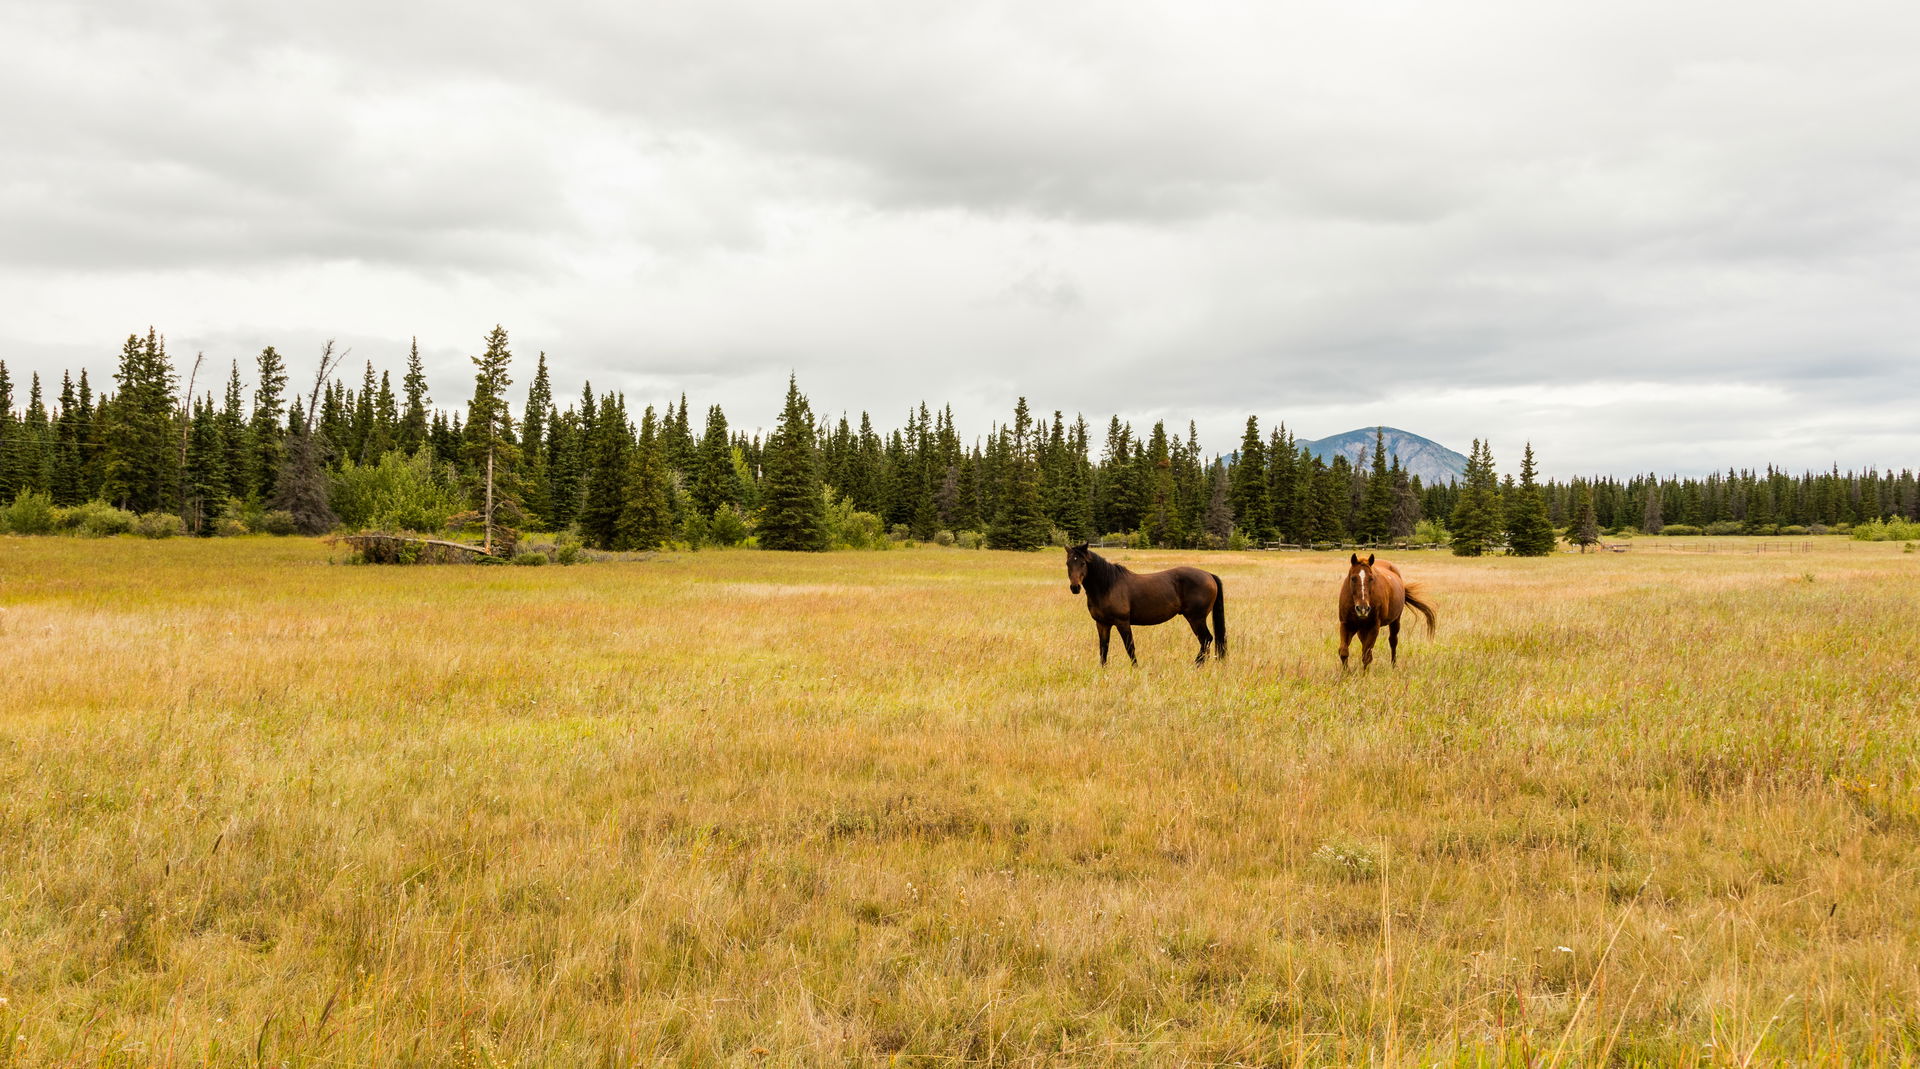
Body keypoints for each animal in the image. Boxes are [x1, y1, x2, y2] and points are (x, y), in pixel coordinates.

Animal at [1065, 543, 1226, 666]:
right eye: (1068, 563)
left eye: (1083, 563)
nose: (1075, 588)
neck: (1108, 586)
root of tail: (1209, 575)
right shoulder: (1102, 623)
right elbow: (1104, 648)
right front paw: (1103, 669)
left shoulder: (1122, 622)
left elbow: (1130, 647)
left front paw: (1135, 668)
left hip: (1196, 619)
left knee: (1206, 639)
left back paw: (1196, 665)